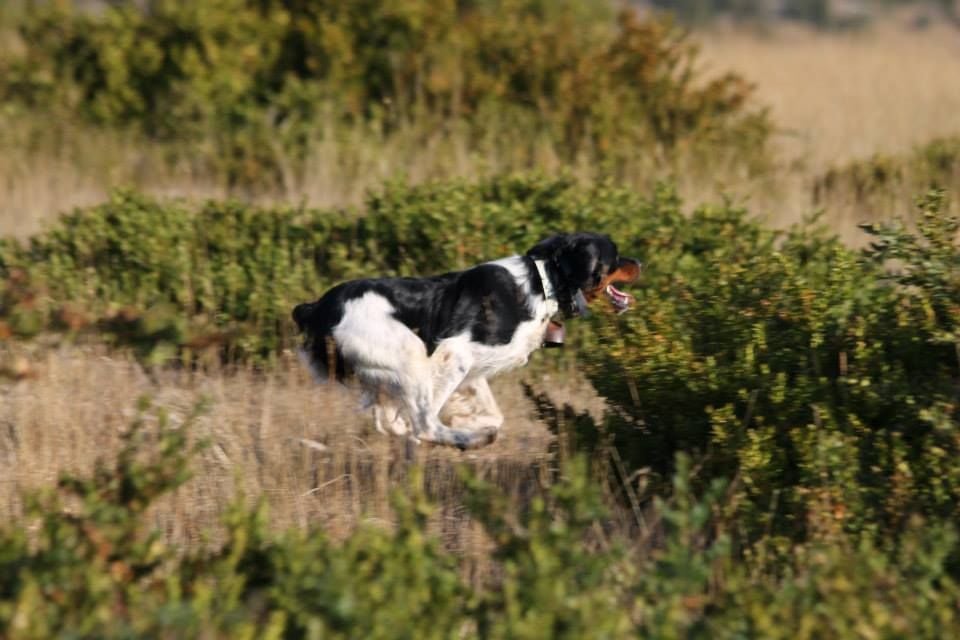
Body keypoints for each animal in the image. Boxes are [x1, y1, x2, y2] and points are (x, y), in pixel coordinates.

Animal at [288, 232, 640, 448]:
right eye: (615, 255)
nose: (640, 262)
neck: (542, 282)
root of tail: (317, 308)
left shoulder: (473, 369)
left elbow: (493, 414)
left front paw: (467, 419)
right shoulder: (456, 353)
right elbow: (428, 415)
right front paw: (468, 430)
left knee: (391, 421)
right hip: (409, 351)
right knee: (424, 423)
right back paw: (468, 442)